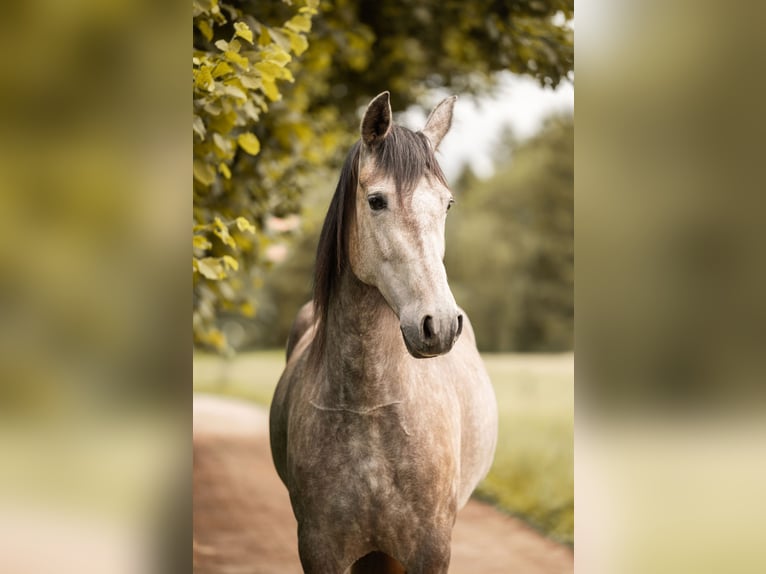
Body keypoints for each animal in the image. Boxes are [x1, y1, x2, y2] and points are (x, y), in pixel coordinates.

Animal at [269, 91, 498, 574]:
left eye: (447, 204)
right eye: (377, 201)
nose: (439, 324)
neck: (370, 408)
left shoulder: (431, 549)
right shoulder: (319, 549)